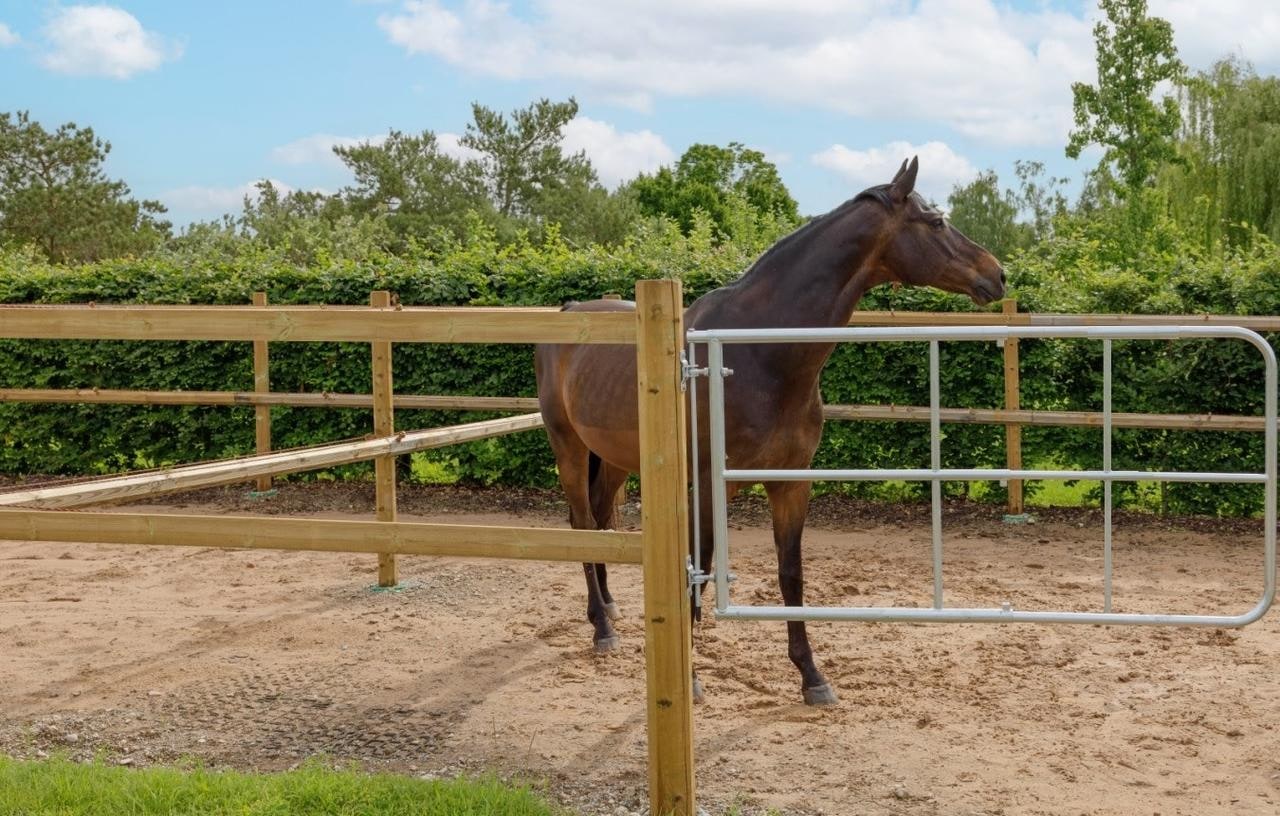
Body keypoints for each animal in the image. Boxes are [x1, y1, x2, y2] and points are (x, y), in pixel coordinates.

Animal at [534, 157, 1005, 705]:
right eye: (936, 221)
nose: (998, 274)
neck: (758, 354)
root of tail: (567, 313)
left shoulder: (790, 481)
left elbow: (791, 575)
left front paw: (812, 676)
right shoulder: (706, 487)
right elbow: (698, 571)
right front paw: (690, 678)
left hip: (614, 458)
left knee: (602, 520)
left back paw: (610, 606)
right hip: (568, 446)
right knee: (582, 521)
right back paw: (601, 628)